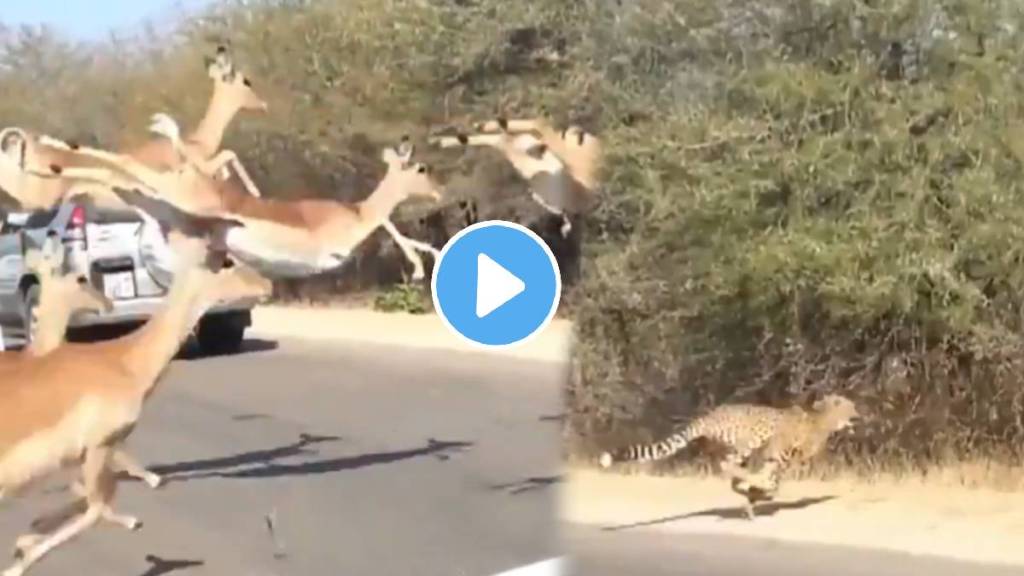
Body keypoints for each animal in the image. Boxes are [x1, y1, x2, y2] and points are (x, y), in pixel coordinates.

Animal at [0, 219, 272, 576]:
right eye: (225, 261)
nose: (268, 285)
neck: (123, 362)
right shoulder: (99, 447)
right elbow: (95, 507)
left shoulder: (90, 456)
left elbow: (88, 500)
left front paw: (23, 543)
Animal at [33, 124, 445, 280]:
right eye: (422, 168)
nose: (440, 192)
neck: (356, 214)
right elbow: (387, 222)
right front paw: (420, 268)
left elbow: (391, 225)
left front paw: (429, 260)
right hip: (173, 195)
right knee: (124, 166)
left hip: (161, 206)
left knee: (117, 174)